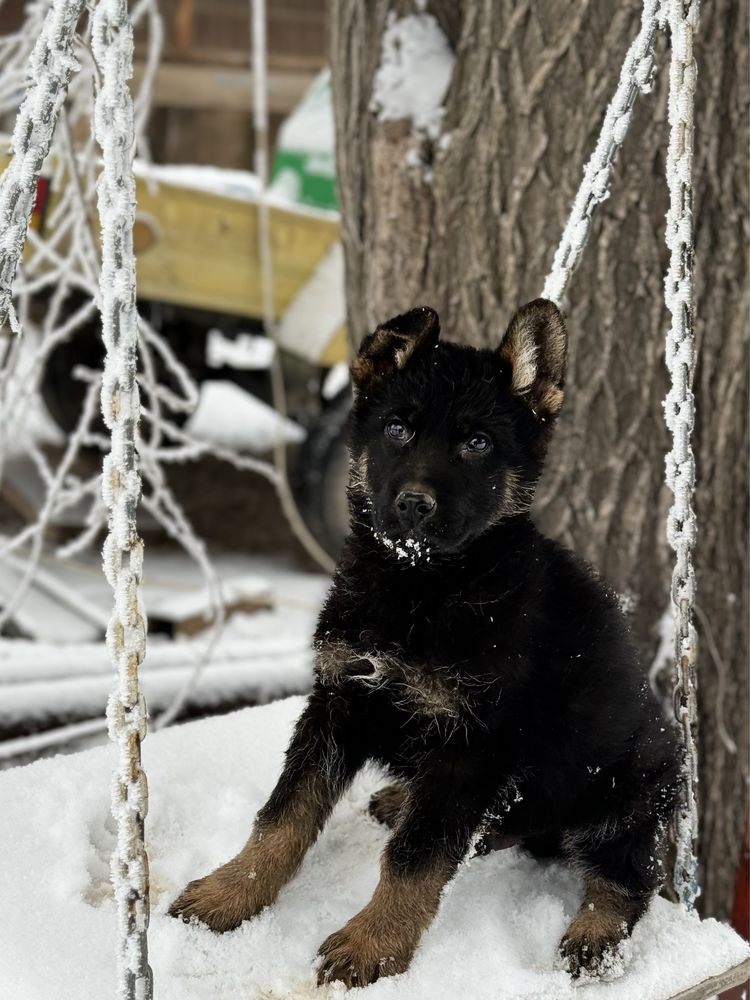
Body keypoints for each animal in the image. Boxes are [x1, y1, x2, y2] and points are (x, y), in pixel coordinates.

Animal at [172, 304, 680, 992]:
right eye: (396, 429)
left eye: (477, 443)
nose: (414, 505)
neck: (421, 586)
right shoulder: (338, 699)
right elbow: (283, 815)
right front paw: (232, 892)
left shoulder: (471, 745)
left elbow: (416, 858)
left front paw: (374, 944)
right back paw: (405, 800)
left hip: (627, 790)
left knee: (628, 876)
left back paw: (594, 937)